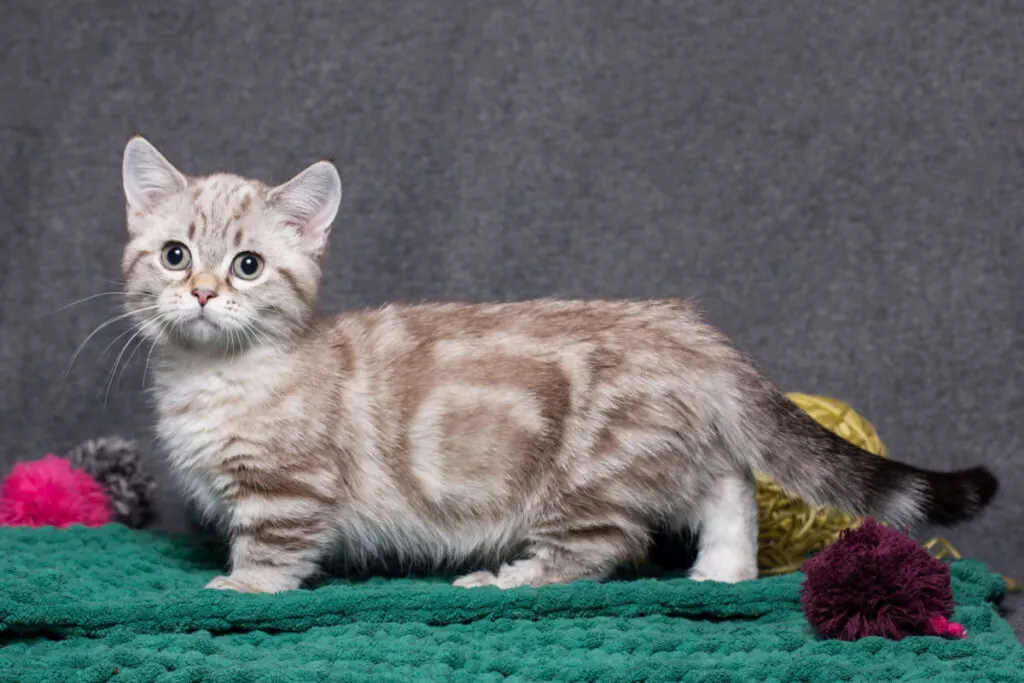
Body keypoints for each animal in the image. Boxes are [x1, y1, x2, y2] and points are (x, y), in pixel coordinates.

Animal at [119, 137, 999, 593]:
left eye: (248, 266)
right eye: (175, 254)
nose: (201, 292)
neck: (214, 376)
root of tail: (689, 326)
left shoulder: (288, 490)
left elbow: (271, 550)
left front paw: (241, 585)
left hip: (588, 477)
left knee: (605, 545)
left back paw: (509, 577)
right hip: (671, 444)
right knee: (728, 483)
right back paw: (723, 570)